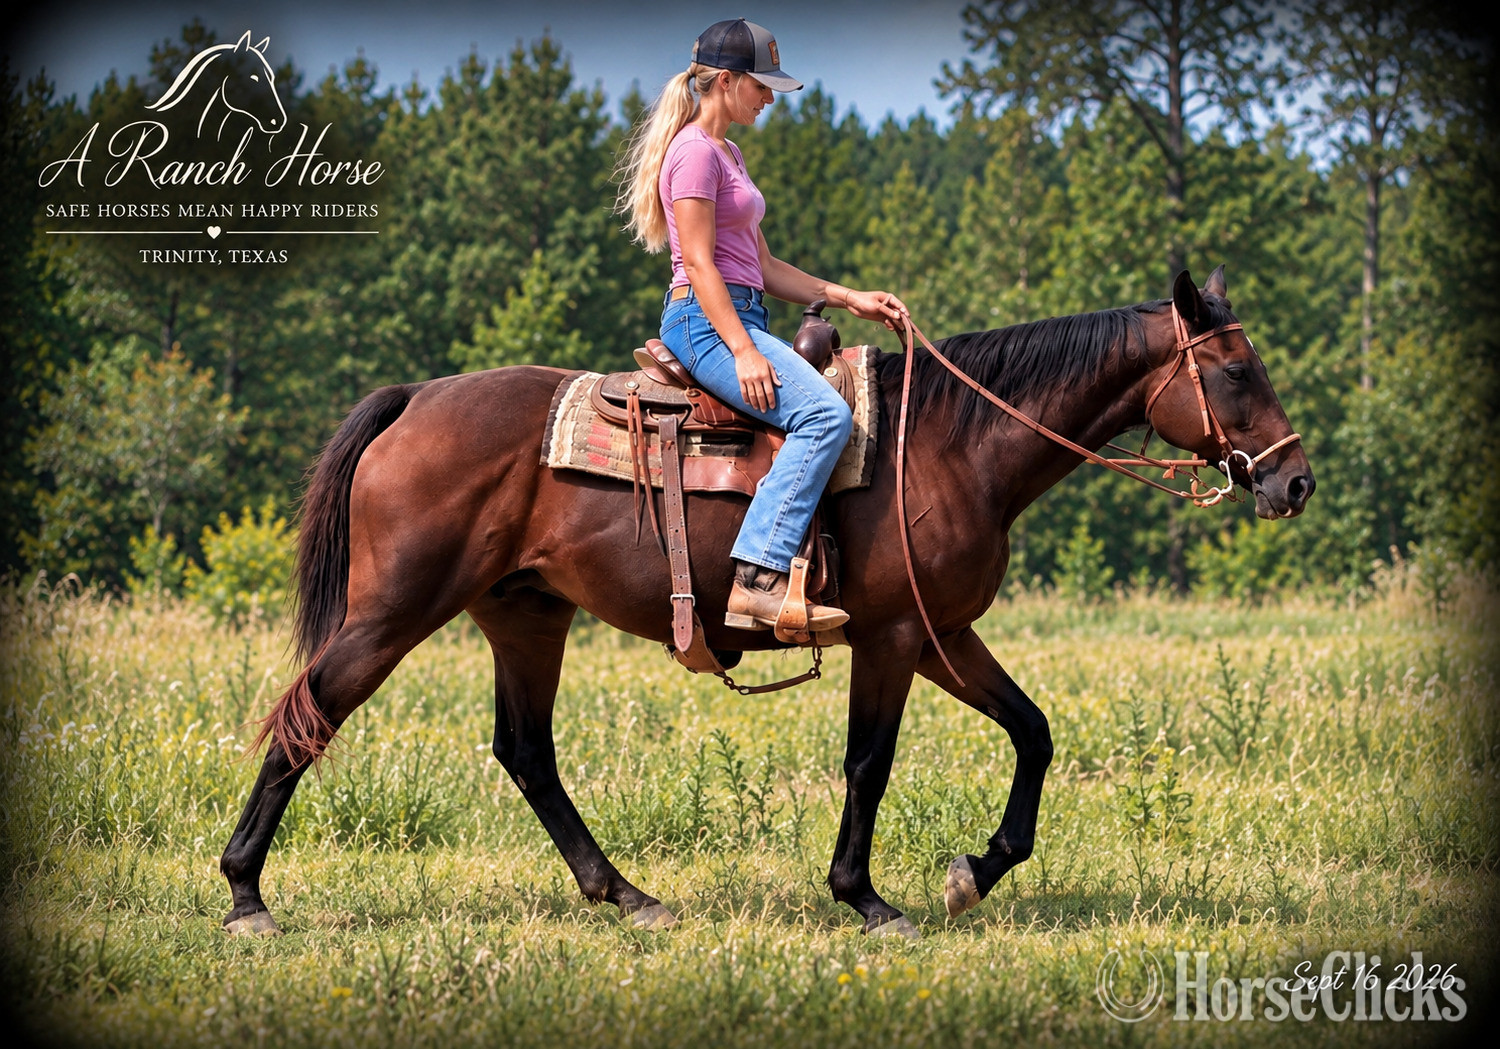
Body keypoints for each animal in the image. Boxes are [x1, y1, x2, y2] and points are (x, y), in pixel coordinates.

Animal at [219, 267, 1313, 939]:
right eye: (1233, 368)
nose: (1294, 481)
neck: (948, 442)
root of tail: (417, 398)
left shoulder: (944, 633)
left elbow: (1033, 731)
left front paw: (977, 869)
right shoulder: (894, 635)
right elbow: (869, 762)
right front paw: (866, 896)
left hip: (525, 614)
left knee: (526, 751)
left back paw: (626, 893)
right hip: (393, 610)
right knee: (309, 714)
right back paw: (244, 892)